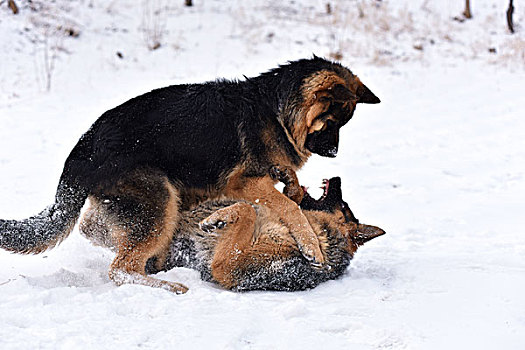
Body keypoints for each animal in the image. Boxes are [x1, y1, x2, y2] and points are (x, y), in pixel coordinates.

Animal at [81, 165, 384, 292]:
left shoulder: (227, 267)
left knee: (120, 270)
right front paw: (289, 181)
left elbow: (247, 211)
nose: (337, 177)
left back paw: (172, 285)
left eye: (343, 204)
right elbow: (280, 201)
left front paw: (215, 220)